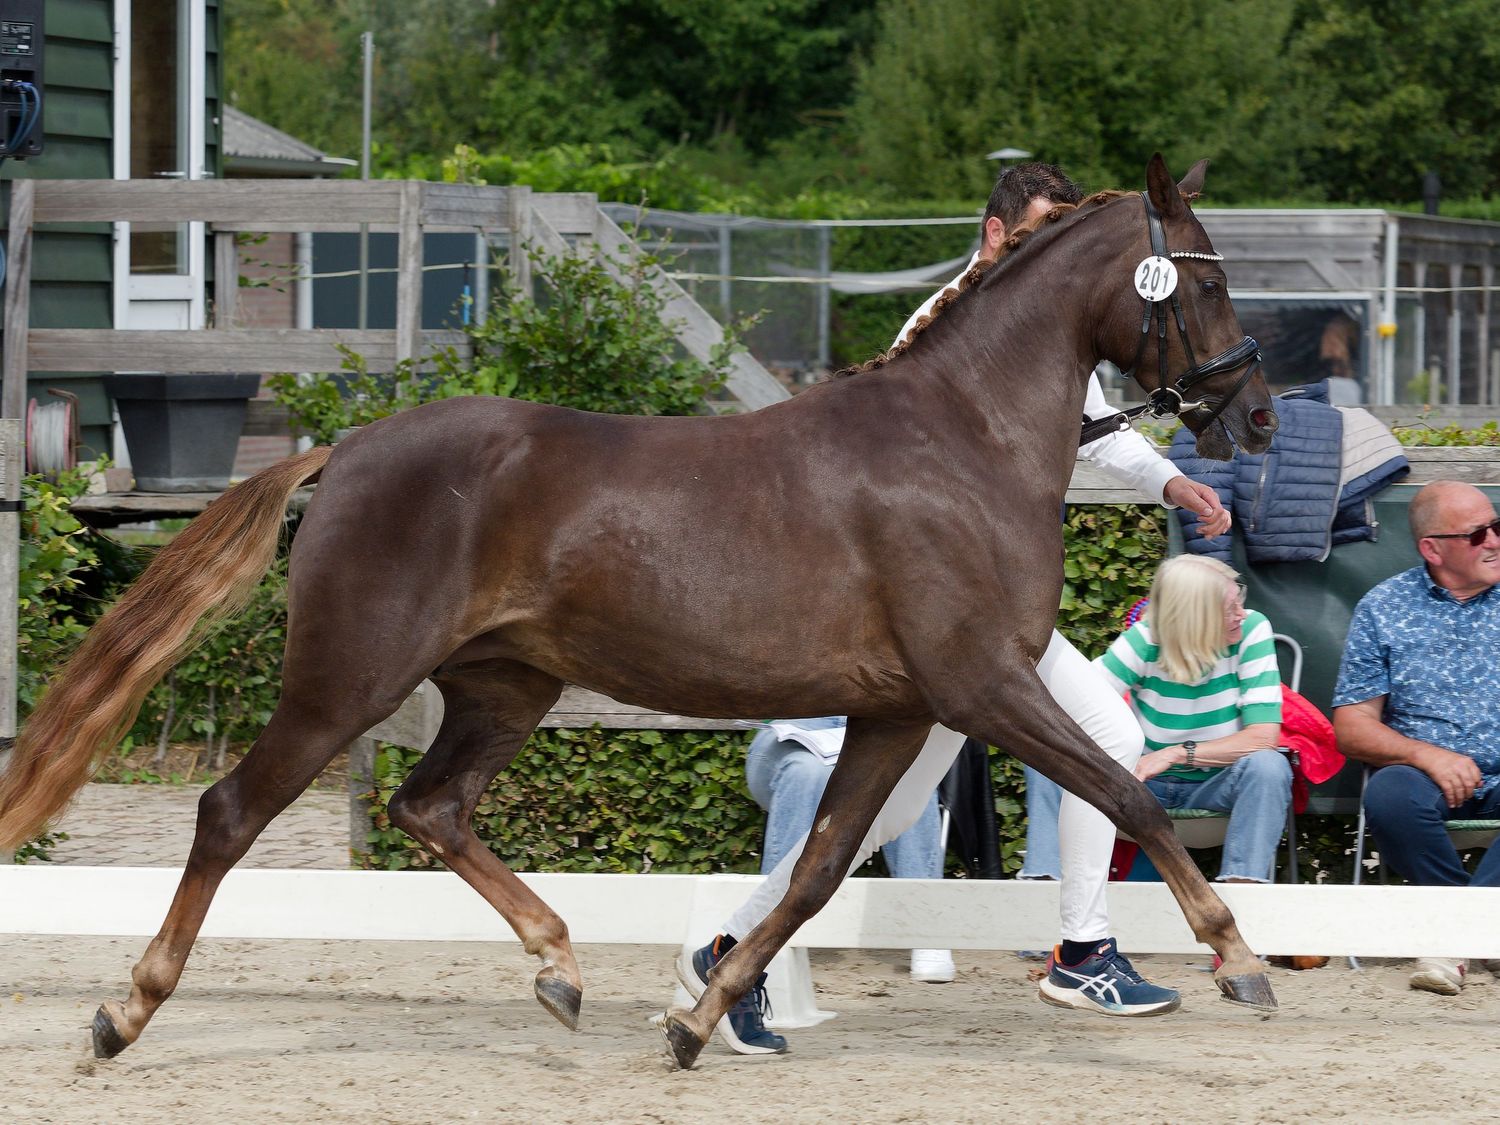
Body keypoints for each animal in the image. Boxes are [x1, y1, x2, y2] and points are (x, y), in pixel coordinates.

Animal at [0, 154, 1280, 1068]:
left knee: (432, 806)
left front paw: (701, 1018)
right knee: (232, 814)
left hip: (504, 686)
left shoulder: (903, 711)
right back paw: (124, 1014)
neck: (963, 441)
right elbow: (1125, 792)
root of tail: (352, 447)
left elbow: (818, 870)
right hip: (345, 683)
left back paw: (560, 969)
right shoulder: (983, 685)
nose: (1254, 415)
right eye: (1211, 278)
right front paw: (1238, 961)